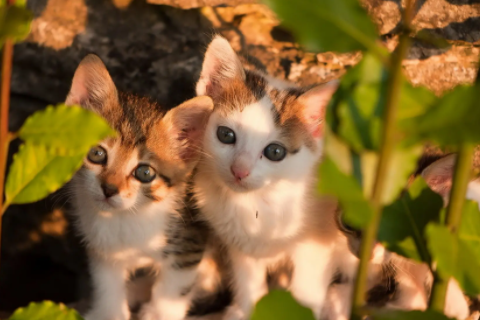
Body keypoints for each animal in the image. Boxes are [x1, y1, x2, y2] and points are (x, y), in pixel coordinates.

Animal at [65, 55, 214, 320]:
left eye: (145, 173)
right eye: (96, 154)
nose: (109, 189)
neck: (127, 217)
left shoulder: (190, 242)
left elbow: (173, 290)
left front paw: (157, 314)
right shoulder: (103, 250)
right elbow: (107, 283)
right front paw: (108, 313)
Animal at [192, 35, 348, 320]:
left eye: (275, 152)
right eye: (226, 135)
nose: (239, 170)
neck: (256, 202)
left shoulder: (317, 244)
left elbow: (307, 286)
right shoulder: (239, 242)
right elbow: (247, 276)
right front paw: (247, 308)